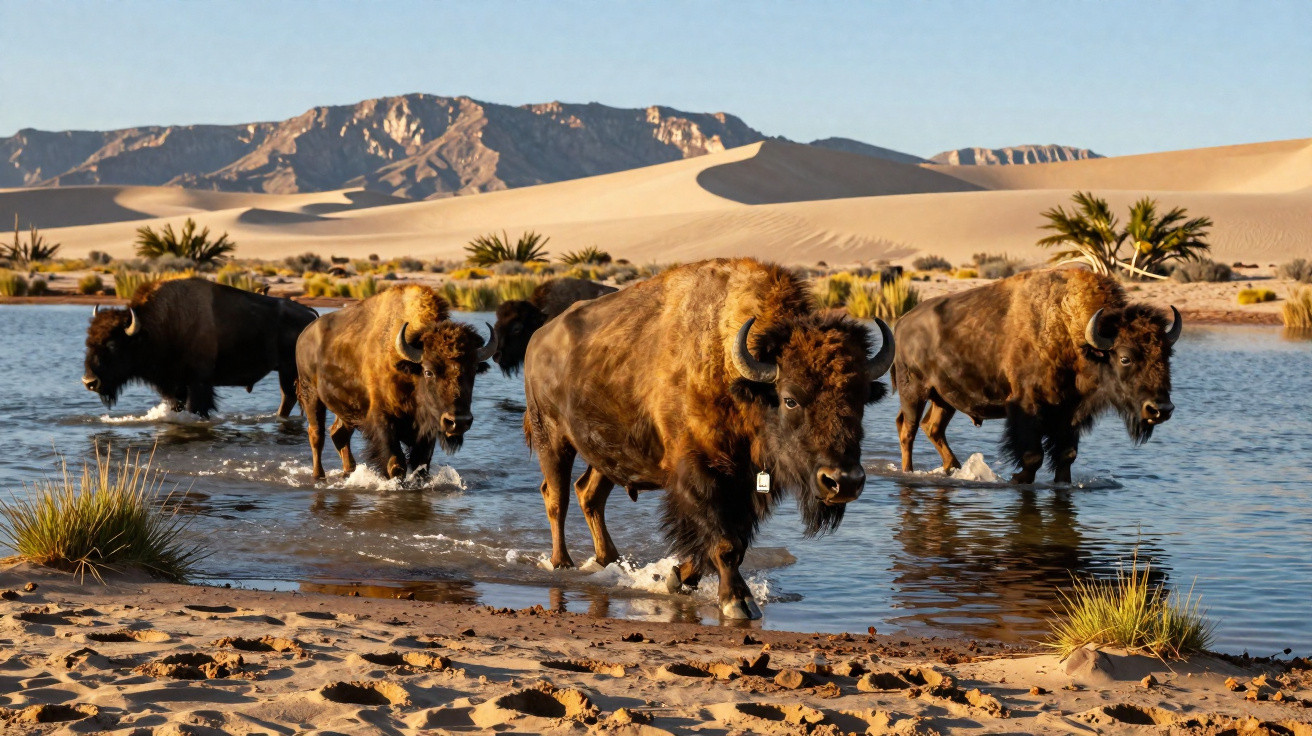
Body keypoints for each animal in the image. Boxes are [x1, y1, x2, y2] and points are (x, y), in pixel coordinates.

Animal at [82, 277, 317, 418]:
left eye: (113, 344)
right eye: (88, 342)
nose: (89, 382)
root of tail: (310, 315)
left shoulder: (198, 383)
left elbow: (196, 407)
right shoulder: (175, 386)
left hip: (288, 370)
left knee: (289, 397)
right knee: (289, 397)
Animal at [295, 285, 496, 480]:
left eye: (473, 370)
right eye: (428, 371)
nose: (458, 422)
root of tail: (304, 335)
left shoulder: (426, 432)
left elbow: (421, 465)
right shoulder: (383, 421)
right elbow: (396, 464)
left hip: (346, 409)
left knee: (338, 434)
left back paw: (348, 471)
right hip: (311, 395)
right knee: (317, 435)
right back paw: (319, 475)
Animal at [523, 258, 894, 619]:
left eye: (862, 397)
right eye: (790, 399)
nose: (843, 482)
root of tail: (538, 339)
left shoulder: (745, 483)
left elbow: (731, 541)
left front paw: (678, 577)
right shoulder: (700, 474)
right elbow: (724, 542)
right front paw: (738, 602)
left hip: (606, 453)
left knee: (589, 494)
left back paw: (608, 561)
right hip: (552, 440)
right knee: (556, 497)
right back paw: (562, 563)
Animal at [893, 267, 1181, 484]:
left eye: (1167, 354)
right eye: (1125, 358)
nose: (1161, 409)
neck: (1072, 333)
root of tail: (903, 321)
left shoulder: (1069, 414)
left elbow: (1066, 456)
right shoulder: (1027, 406)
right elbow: (1033, 456)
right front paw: (1017, 479)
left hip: (944, 398)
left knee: (933, 428)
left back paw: (953, 468)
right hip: (914, 391)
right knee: (908, 429)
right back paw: (909, 472)